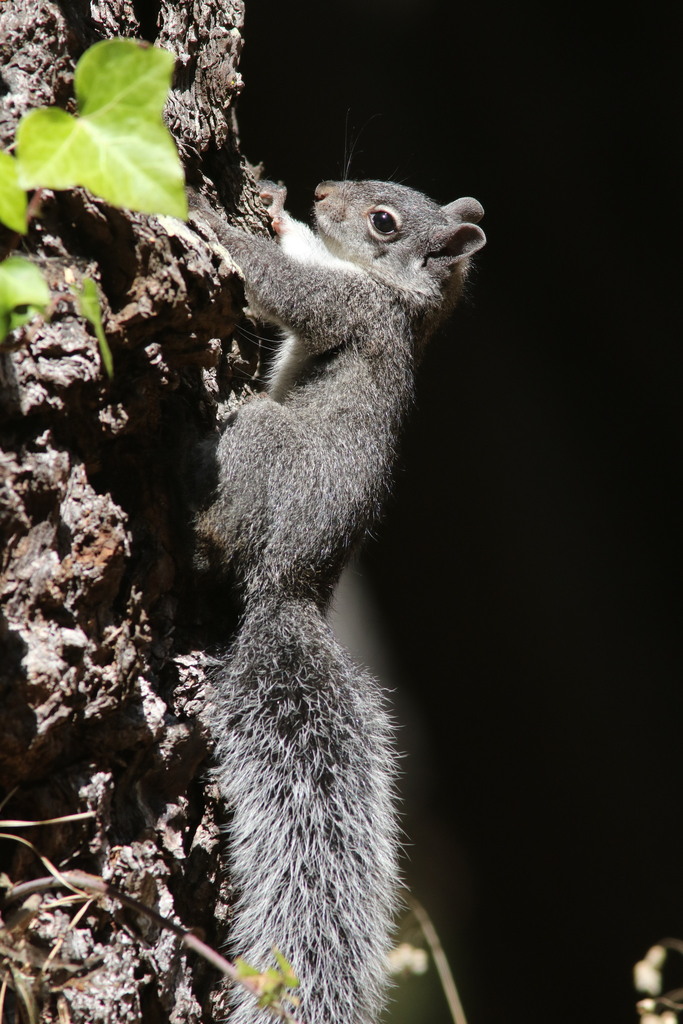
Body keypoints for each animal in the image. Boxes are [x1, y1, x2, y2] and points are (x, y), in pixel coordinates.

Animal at [192, 178, 486, 1024]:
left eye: (384, 221)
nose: (321, 190)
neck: (402, 302)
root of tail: (290, 586)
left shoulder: (351, 309)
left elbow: (284, 290)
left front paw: (205, 212)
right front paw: (275, 209)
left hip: (262, 446)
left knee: (226, 524)